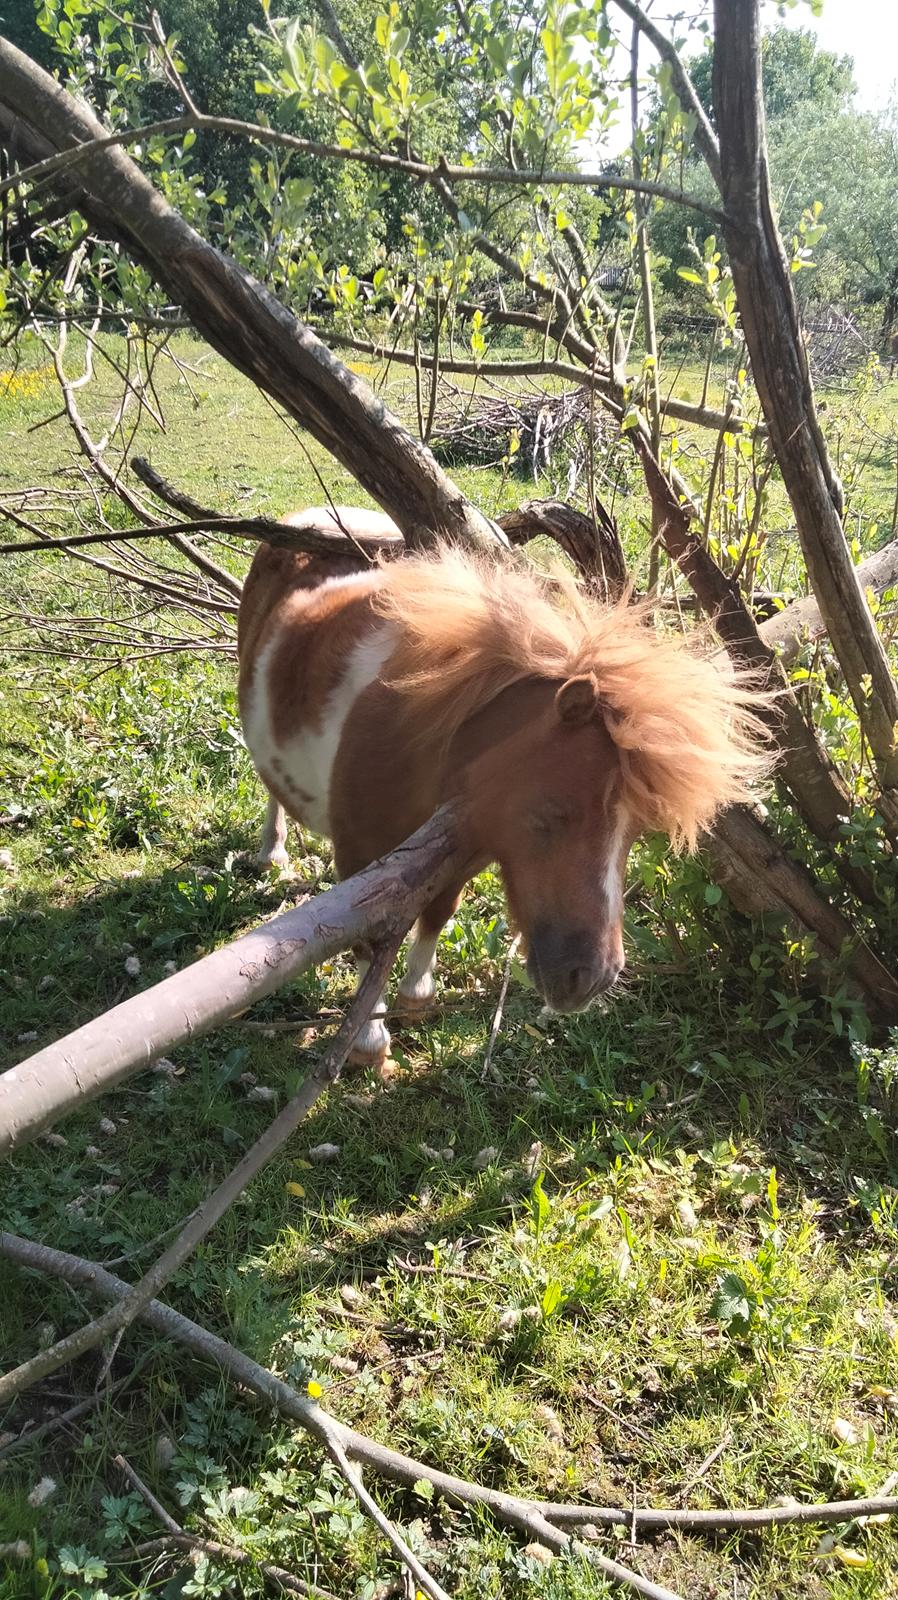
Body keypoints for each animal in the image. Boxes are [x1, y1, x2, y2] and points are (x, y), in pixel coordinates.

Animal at [238, 512, 771, 1062]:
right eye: (551, 812)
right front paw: (367, 1040)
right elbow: (368, 941)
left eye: (636, 833)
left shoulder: (462, 849)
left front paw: (416, 997)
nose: (592, 980)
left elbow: (438, 913)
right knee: (272, 791)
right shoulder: (360, 861)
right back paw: (271, 852)